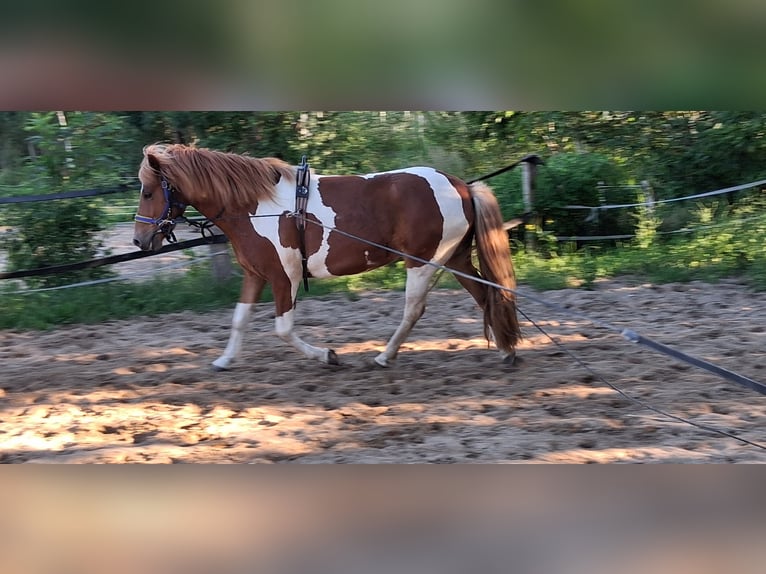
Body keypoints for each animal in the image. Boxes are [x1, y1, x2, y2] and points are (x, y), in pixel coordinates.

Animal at [132, 143, 521, 369]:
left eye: (149, 191)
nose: (140, 240)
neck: (256, 208)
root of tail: (461, 185)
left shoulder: (283, 278)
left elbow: (283, 329)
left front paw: (328, 355)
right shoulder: (255, 275)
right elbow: (239, 320)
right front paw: (225, 360)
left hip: (423, 262)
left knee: (415, 310)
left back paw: (384, 356)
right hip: (455, 259)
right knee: (486, 294)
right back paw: (506, 351)